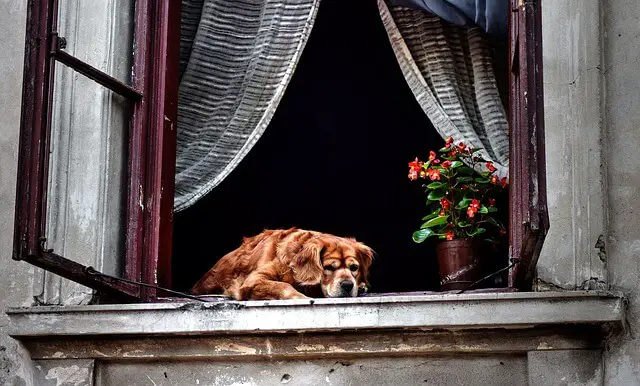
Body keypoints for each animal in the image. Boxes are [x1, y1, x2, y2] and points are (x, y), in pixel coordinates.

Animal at [190, 228, 372, 300]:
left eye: (354, 268)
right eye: (328, 268)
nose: (348, 285)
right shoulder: (253, 280)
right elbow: (283, 285)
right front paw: (300, 297)